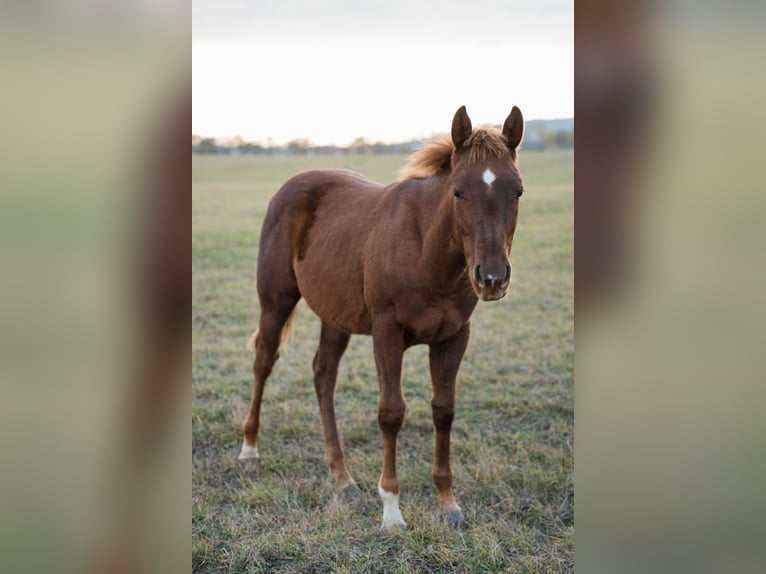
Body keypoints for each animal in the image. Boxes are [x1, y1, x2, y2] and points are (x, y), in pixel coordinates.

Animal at [238, 105, 525, 531]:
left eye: (517, 190)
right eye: (458, 191)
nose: (491, 277)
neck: (425, 252)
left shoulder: (454, 337)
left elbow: (444, 410)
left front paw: (447, 503)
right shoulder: (387, 334)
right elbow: (391, 412)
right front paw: (391, 510)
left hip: (334, 315)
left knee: (324, 375)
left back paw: (343, 478)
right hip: (276, 302)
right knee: (264, 362)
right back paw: (249, 449)